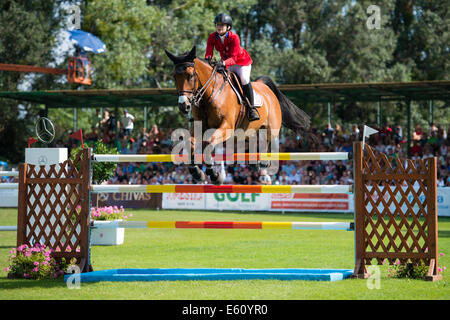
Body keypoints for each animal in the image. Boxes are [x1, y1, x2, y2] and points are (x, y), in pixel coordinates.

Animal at [166, 46, 312, 184]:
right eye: (174, 76)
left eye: (190, 75)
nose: (183, 106)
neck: (210, 95)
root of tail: (266, 88)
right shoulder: (199, 127)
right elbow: (189, 143)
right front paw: (197, 172)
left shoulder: (227, 127)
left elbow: (208, 142)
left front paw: (214, 175)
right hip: (248, 131)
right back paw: (253, 163)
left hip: (271, 127)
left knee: (267, 140)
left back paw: (263, 162)